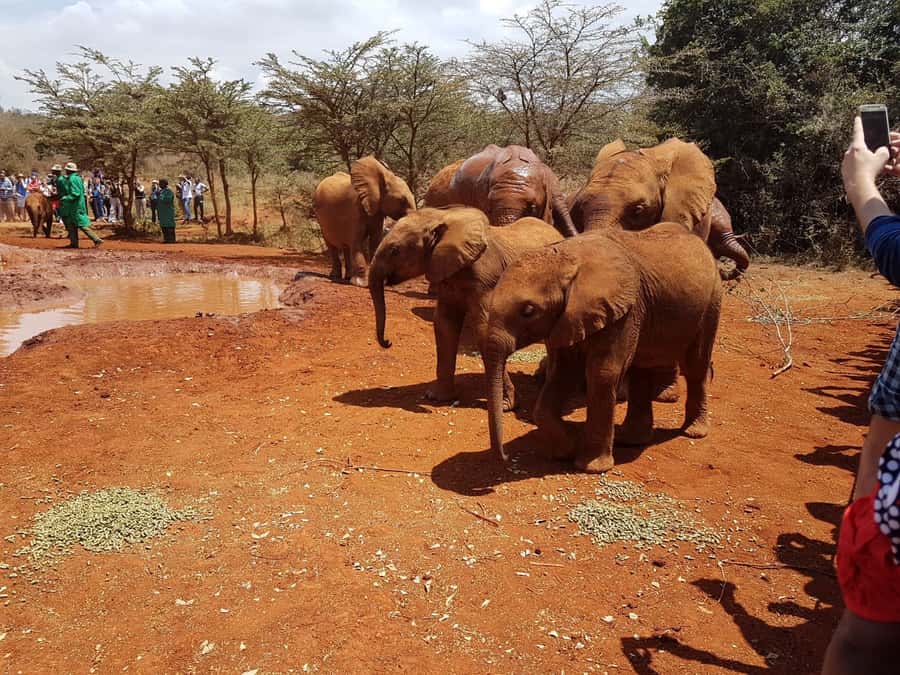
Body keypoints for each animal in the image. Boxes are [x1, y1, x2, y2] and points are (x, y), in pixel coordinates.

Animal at [314, 157, 416, 287]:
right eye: (402, 200)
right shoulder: (355, 210)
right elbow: (357, 242)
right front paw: (360, 284)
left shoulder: (377, 212)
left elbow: (375, 242)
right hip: (320, 219)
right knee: (332, 245)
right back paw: (335, 276)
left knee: (346, 246)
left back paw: (347, 277)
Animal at [368, 206, 563, 410]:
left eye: (395, 250)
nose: (387, 342)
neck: (442, 217)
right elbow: (444, 325)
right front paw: (436, 398)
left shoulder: (486, 280)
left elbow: (485, 330)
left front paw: (505, 406)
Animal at [483, 223, 722, 473]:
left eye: (528, 311)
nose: (505, 457)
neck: (568, 259)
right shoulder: (567, 318)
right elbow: (562, 374)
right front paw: (566, 451)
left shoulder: (624, 312)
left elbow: (602, 374)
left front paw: (591, 467)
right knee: (641, 370)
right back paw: (630, 440)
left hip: (711, 303)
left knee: (695, 366)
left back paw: (693, 432)